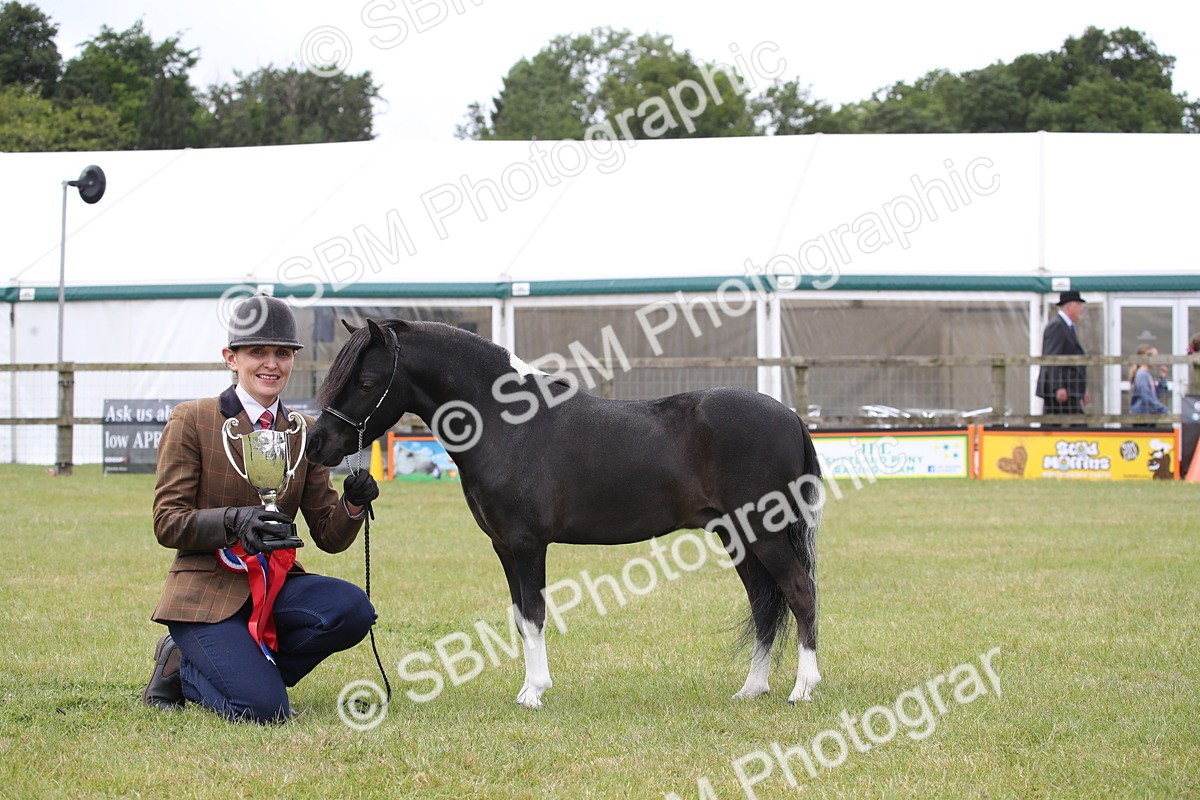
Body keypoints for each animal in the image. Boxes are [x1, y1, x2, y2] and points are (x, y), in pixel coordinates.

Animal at [306, 319, 823, 709]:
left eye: (366, 382)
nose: (317, 444)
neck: (506, 422)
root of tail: (790, 417)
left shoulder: (526, 543)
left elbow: (535, 615)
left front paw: (533, 693)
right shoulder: (503, 546)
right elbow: (520, 617)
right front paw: (530, 687)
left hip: (764, 532)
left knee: (799, 593)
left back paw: (802, 689)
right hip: (737, 535)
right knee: (763, 604)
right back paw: (752, 689)